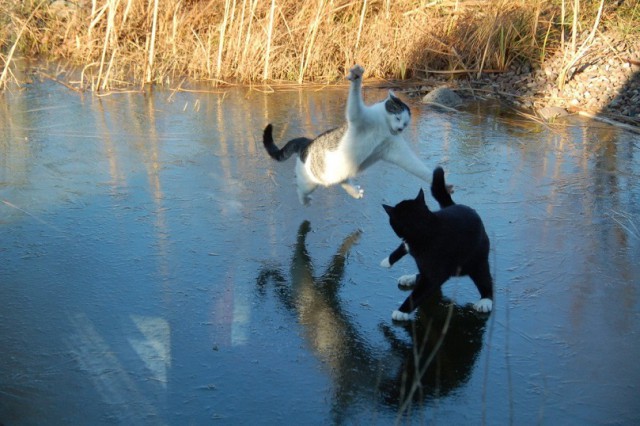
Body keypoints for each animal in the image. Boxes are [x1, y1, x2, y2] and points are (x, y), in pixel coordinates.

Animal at [262, 64, 436, 206]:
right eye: (398, 118)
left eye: (405, 124)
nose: (400, 129)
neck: (383, 127)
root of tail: (307, 142)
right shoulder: (357, 115)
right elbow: (355, 95)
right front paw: (357, 76)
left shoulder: (396, 150)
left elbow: (417, 167)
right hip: (309, 181)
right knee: (300, 189)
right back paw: (305, 200)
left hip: (338, 172)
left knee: (342, 180)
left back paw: (355, 192)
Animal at [380, 166, 496, 320]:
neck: (424, 228)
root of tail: (457, 205)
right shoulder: (411, 247)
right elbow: (403, 247)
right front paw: (387, 261)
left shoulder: (433, 273)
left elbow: (419, 293)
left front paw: (401, 311)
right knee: (421, 275)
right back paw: (409, 278)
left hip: (477, 260)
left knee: (485, 280)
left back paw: (485, 301)